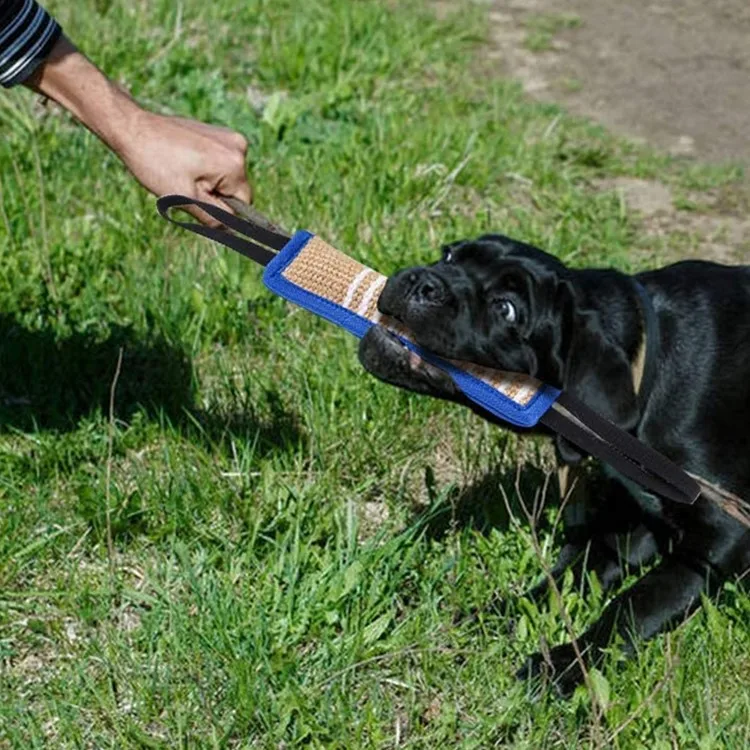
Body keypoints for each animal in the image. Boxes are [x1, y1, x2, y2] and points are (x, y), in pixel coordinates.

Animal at [358, 236, 750, 700]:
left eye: (507, 309)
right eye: (450, 255)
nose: (423, 280)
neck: (646, 364)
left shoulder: (722, 534)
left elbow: (638, 602)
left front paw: (564, 664)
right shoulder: (636, 521)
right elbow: (569, 573)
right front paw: (502, 612)